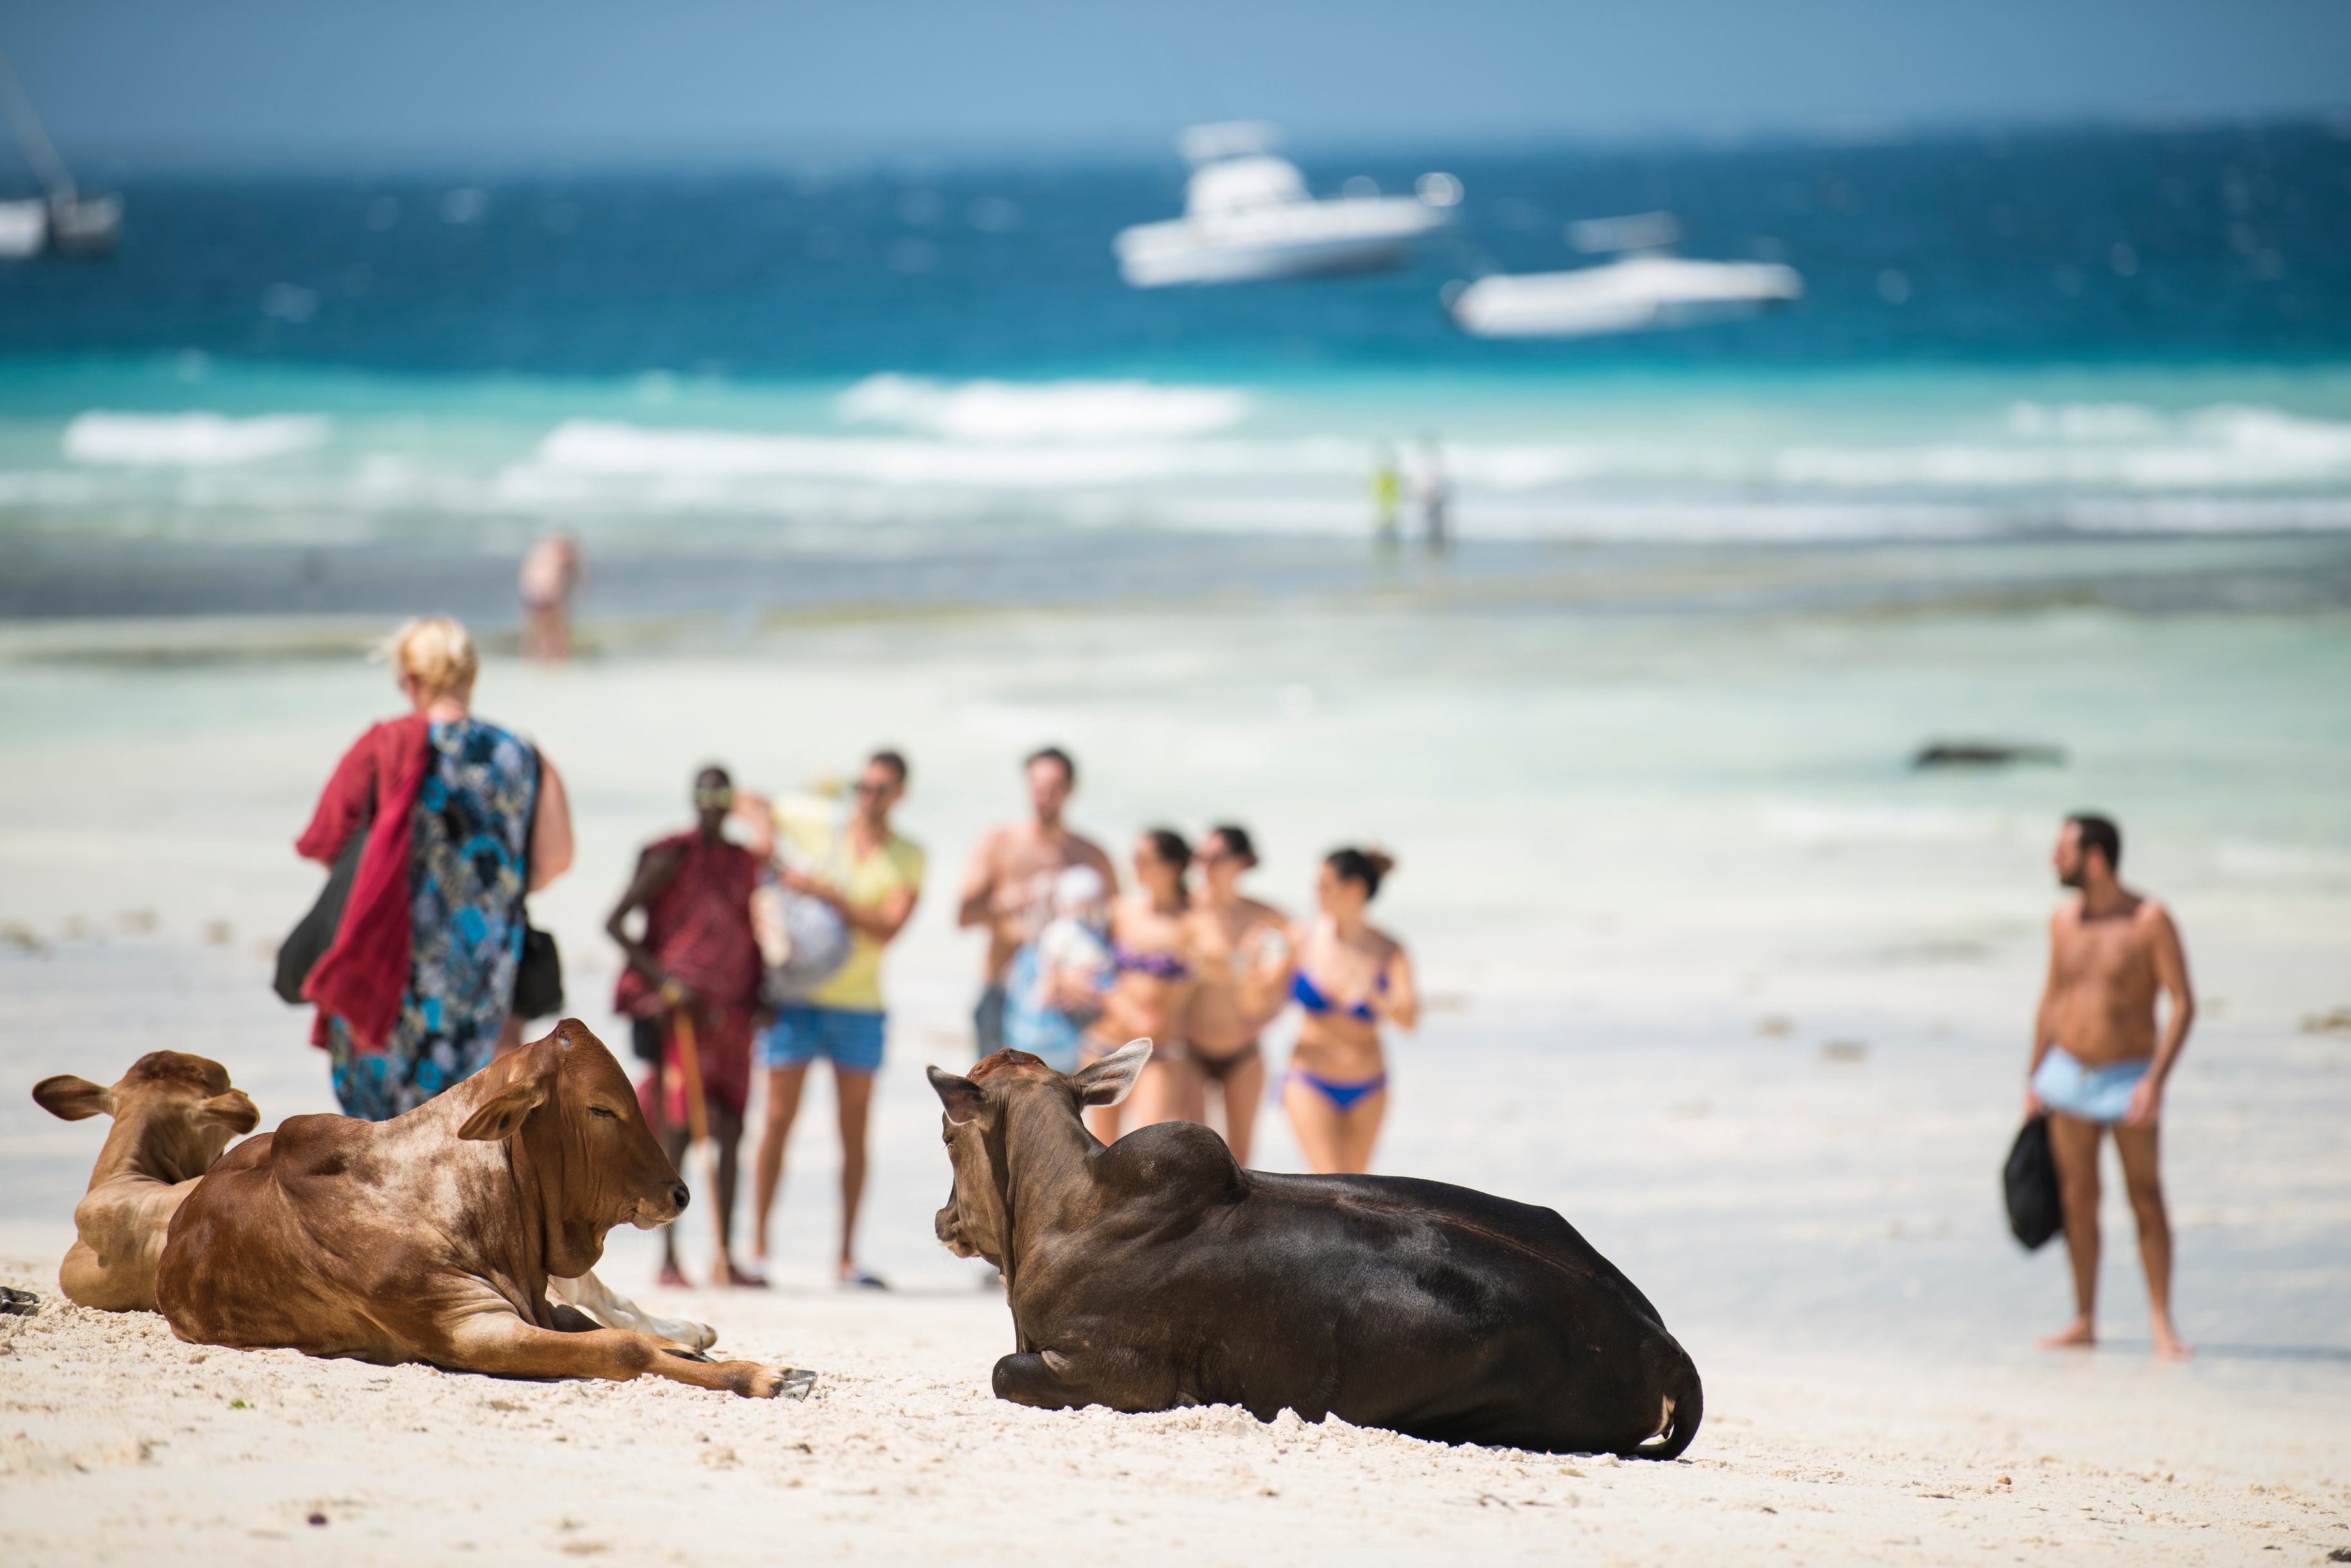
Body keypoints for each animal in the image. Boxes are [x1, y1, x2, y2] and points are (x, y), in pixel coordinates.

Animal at [154, 1019, 812, 1399]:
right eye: (601, 1108)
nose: (679, 1193)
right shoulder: (473, 1331)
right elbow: (623, 1348)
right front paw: (762, 1374)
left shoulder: (536, 1307)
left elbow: (614, 1327)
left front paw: (695, 1348)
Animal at [928, 1042, 1702, 1458]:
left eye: (946, 1134)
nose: (943, 1217)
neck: (1070, 1208)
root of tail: (1662, 1345)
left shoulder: (1113, 1371)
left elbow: (1004, 1371)